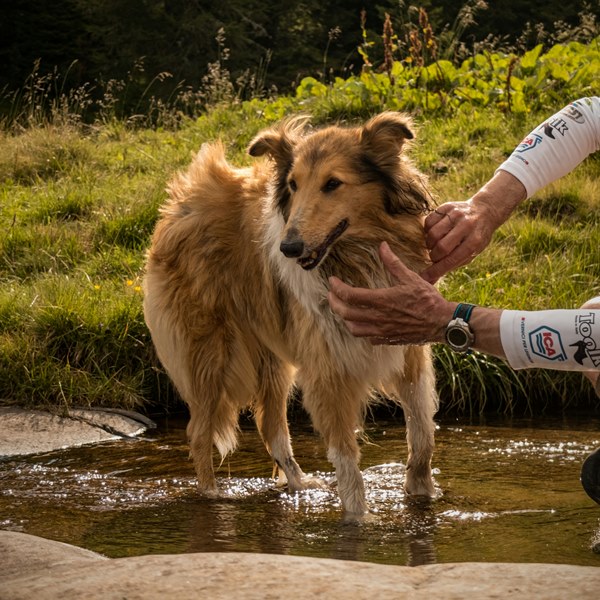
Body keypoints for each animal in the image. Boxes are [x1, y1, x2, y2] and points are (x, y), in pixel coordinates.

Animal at [143, 112, 438, 516]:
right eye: (293, 184)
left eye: (333, 183)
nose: (288, 248)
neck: (356, 259)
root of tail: (181, 199)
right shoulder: (329, 369)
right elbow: (346, 459)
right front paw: (358, 517)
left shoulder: (408, 351)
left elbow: (422, 434)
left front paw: (421, 493)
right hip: (211, 354)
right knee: (200, 434)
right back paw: (212, 497)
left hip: (270, 355)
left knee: (271, 427)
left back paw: (299, 484)